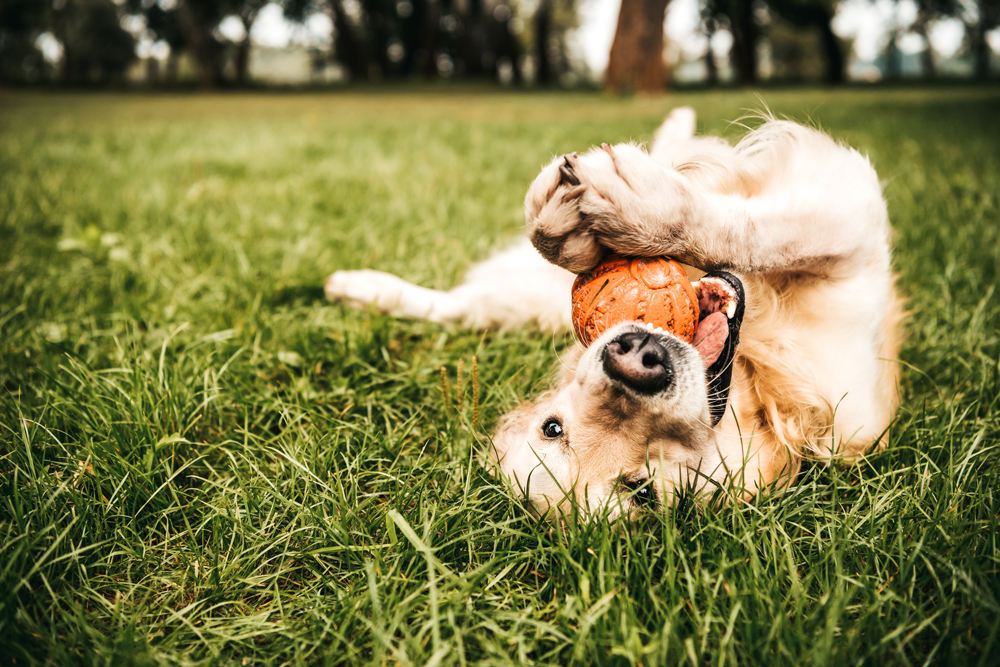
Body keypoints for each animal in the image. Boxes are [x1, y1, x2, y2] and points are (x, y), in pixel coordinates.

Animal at [324, 107, 904, 520]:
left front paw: (629, 212)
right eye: (641, 491)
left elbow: (752, 229)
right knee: (460, 307)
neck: (758, 385)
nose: (636, 359)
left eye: (551, 428)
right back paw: (359, 289)